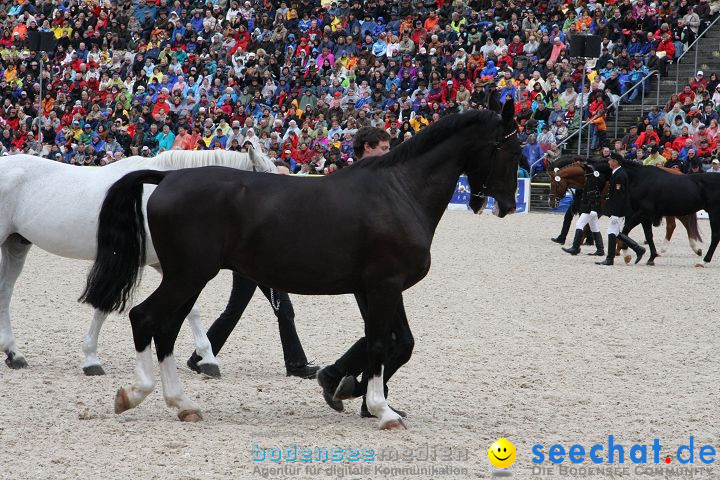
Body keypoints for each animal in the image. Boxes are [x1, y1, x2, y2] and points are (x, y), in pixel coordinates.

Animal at [0, 149, 276, 376]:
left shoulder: (172, 267)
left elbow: (192, 310)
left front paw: (207, 359)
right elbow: (104, 306)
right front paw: (91, 359)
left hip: (16, 245)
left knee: (5, 292)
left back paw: (14, 354)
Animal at [80, 104, 524, 428]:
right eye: (510, 149)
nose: (505, 204)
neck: (399, 192)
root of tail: (166, 179)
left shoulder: (377, 288)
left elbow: (399, 343)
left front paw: (348, 389)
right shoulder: (384, 284)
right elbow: (382, 343)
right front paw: (380, 409)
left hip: (187, 278)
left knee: (165, 328)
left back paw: (183, 403)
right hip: (188, 275)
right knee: (145, 318)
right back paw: (135, 395)